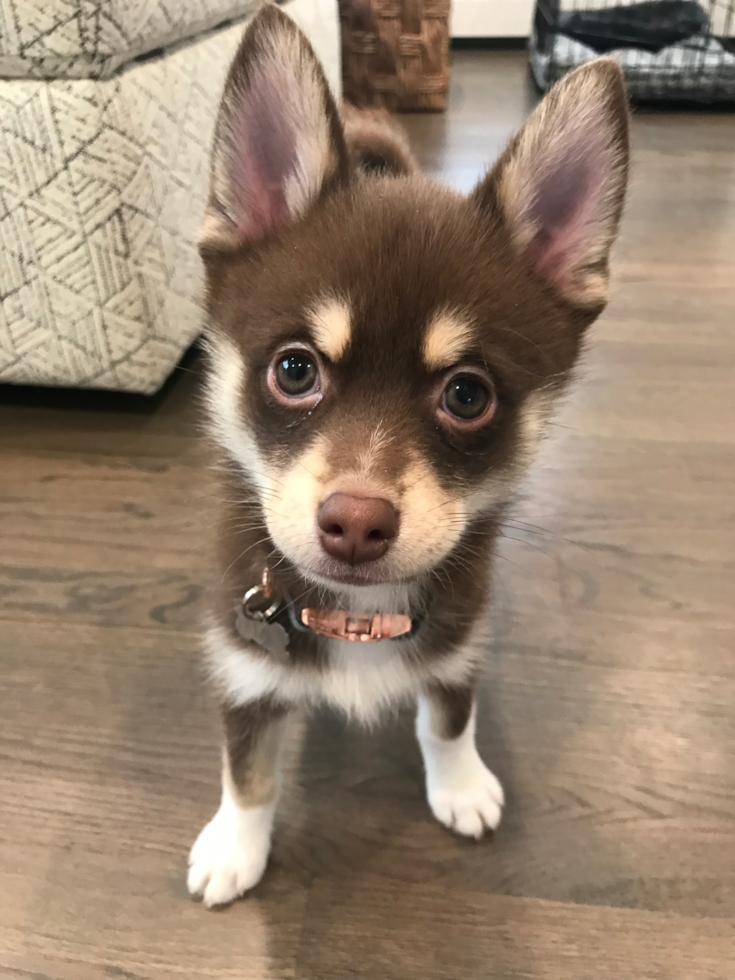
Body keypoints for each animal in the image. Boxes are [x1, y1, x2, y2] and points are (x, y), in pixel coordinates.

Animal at [187, 1, 628, 912]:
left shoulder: (456, 643)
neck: (358, 615)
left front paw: (459, 787)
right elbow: (247, 768)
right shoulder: (242, 664)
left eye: (466, 395)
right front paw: (234, 845)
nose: (355, 522)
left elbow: (447, 718)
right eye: (294, 370)